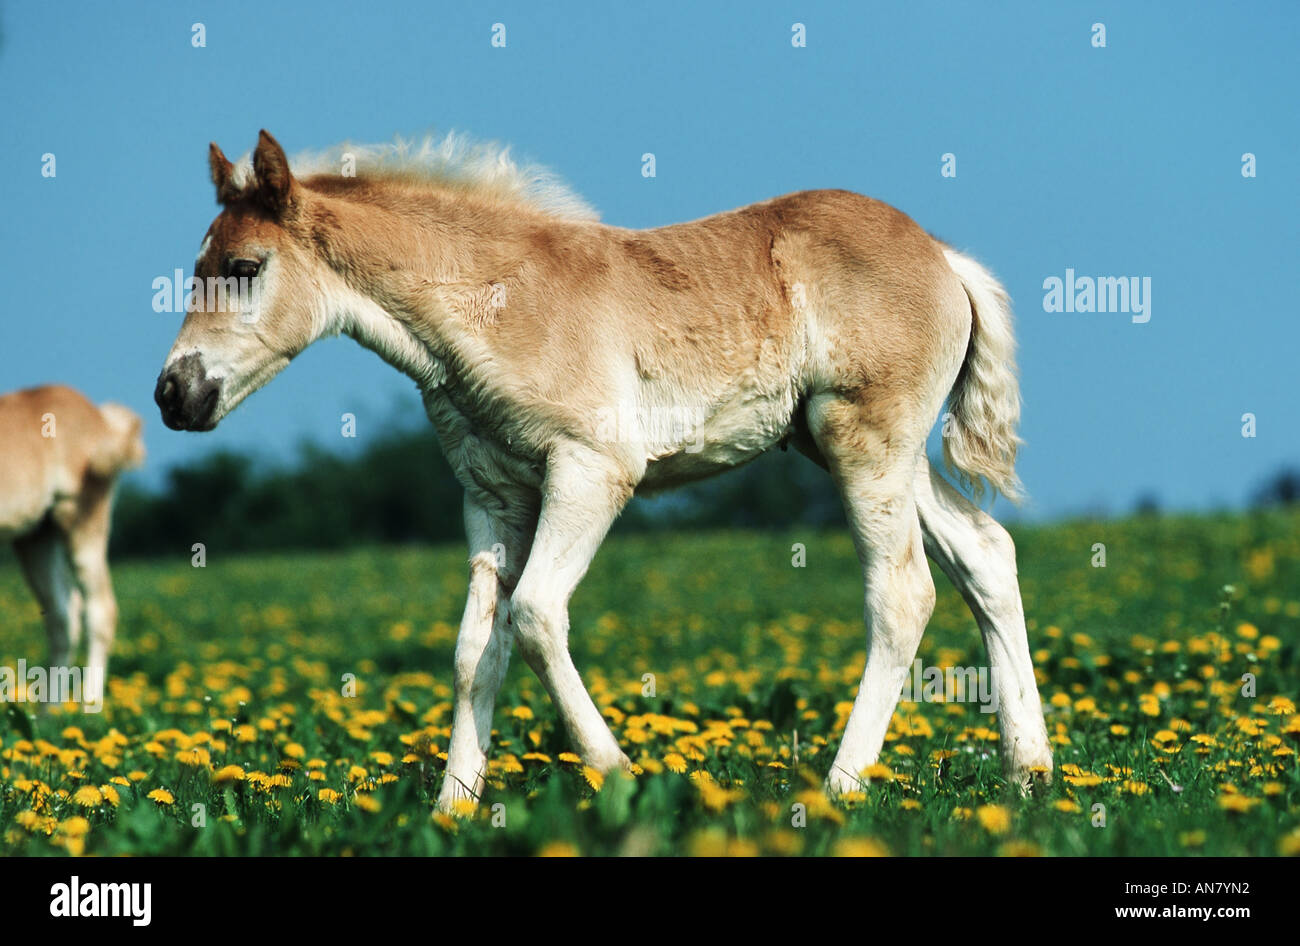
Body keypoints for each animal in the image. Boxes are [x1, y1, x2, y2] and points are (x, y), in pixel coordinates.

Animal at [0, 382, 144, 701]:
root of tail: (101, 418)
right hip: (37, 536)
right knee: (63, 620)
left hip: (80, 521)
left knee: (100, 612)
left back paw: (87, 705)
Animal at [157, 127, 1050, 805]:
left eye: (243, 268)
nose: (174, 393)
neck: (494, 302)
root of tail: (944, 258)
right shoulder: (493, 497)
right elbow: (474, 649)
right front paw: (453, 809)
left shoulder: (592, 470)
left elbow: (535, 615)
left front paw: (620, 774)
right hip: (862, 450)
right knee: (986, 555)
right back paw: (1030, 774)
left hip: (866, 441)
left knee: (903, 595)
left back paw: (839, 788)